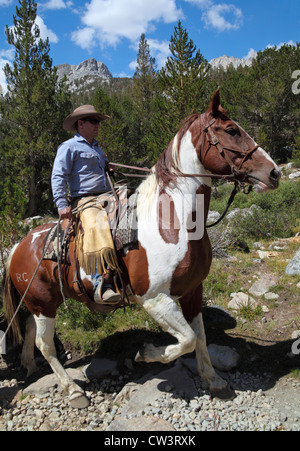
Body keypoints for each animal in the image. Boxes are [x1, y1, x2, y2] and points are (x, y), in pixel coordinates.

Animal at [2, 91, 280, 410]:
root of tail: (20, 245)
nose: (274, 173)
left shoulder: (192, 291)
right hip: (43, 303)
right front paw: (147, 353)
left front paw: (214, 381)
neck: (173, 220)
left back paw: (30, 366)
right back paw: (73, 390)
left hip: (41, 303)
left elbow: (199, 337)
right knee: (45, 344)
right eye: (232, 130)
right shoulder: (156, 300)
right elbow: (186, 340)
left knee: (31, 331)